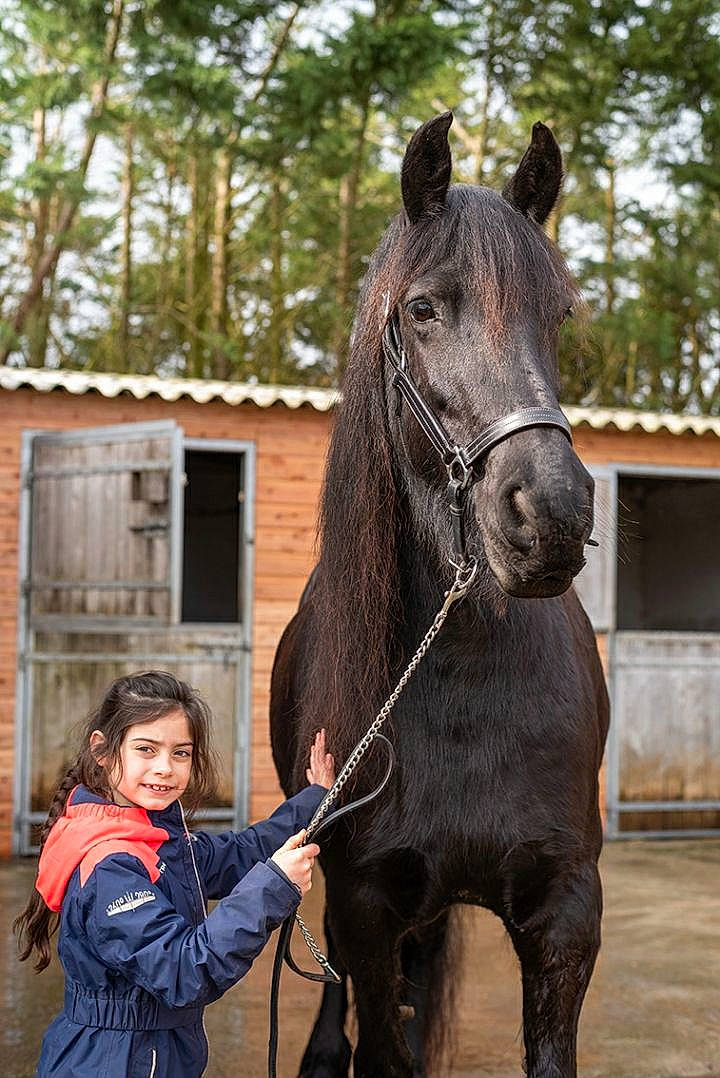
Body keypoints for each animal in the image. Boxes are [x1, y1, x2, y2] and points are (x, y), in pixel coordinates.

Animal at [270, 111, 609, 1078]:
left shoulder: (566, 914)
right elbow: (382, 1042)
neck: (460, 675)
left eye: (557, 316)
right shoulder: (365, 905)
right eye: (423, 310)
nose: (552, 513)